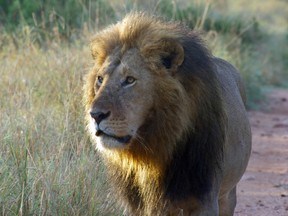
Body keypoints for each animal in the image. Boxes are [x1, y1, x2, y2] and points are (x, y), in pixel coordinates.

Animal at [82, 12, 250, 215]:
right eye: (100, 79)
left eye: (130, 80)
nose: (95, 115)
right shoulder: (138, 205)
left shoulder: (205, 200)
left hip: (228, 194)